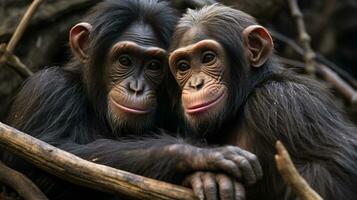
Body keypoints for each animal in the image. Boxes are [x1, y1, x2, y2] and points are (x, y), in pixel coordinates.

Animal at [0, 0, 262, 199]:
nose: (136, 88)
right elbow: (49, 155)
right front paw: (199, 158)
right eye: (124, 60)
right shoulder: (47, 89)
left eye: (154, 65)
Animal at [168, 4, 356, 200]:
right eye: (183, 66)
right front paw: (204, 178)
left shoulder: (285, 102)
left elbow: (331, 167)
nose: (196, 84)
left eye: (208, 58)